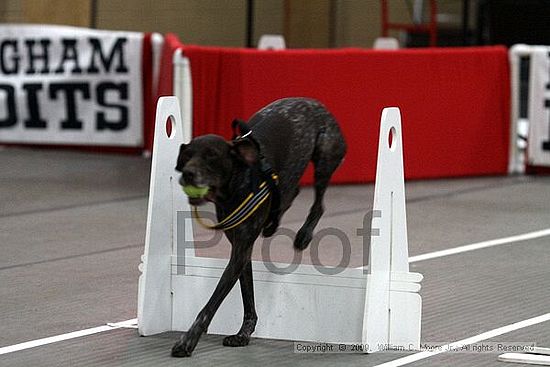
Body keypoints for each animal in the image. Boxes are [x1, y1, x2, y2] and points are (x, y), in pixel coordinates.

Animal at [172, 97, 348, 356]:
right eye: (187, 156)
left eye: (212, 155)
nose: (188, 174)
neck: (235, 186)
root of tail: (314, 102)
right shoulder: (241, 250)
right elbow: (248, 296)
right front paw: (243, 333)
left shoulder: (239, 253)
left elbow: (211, 304)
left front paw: (188, 340)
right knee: (292, 192)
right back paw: (275, 219)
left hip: (325, 156)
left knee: (319, 203)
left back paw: (303, 234)